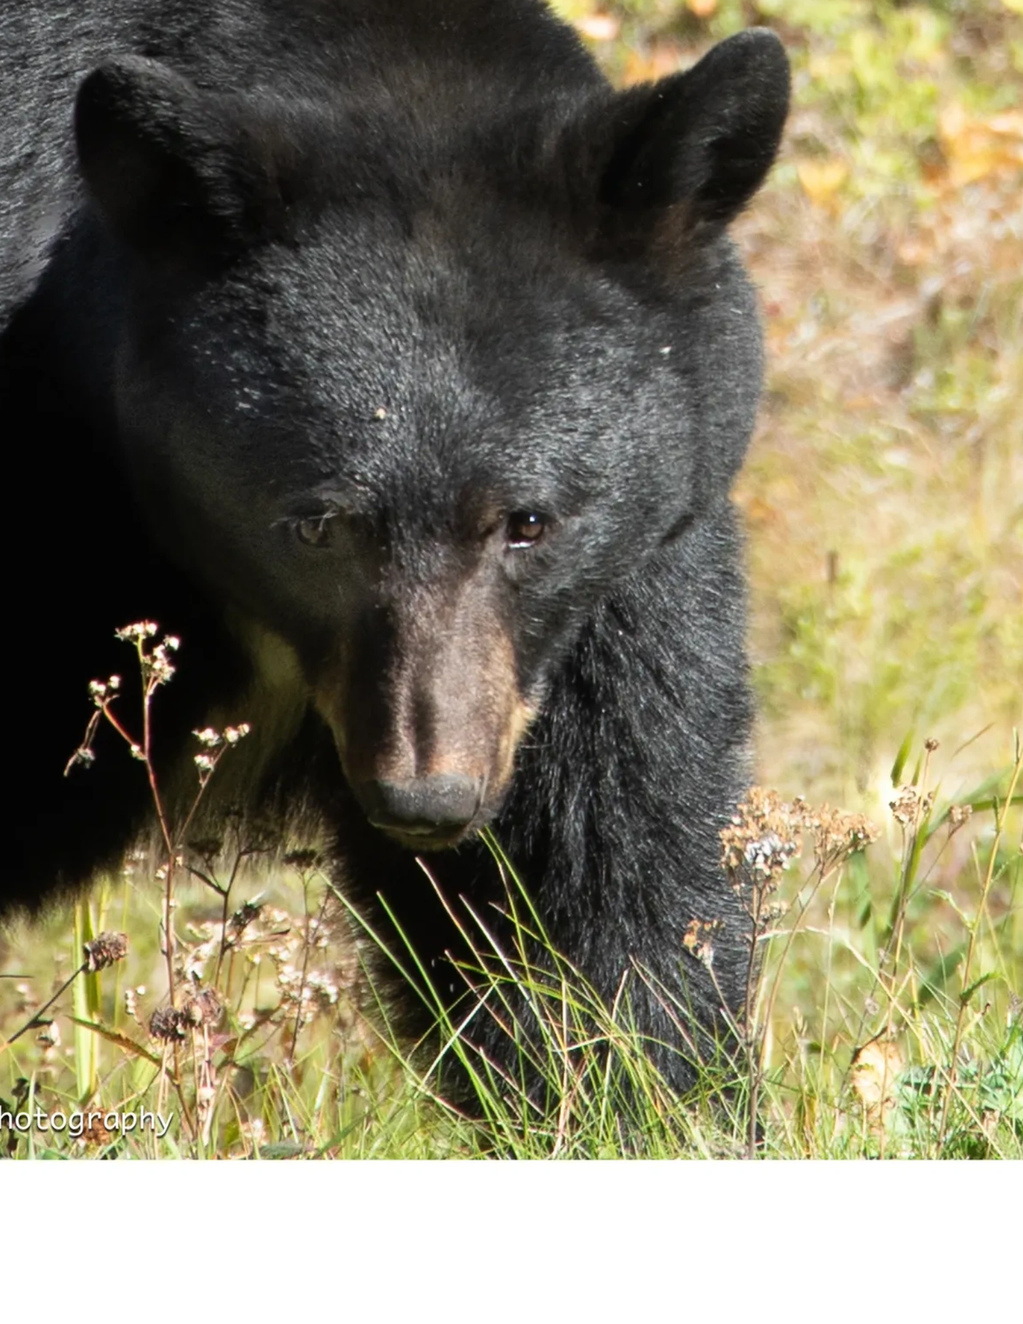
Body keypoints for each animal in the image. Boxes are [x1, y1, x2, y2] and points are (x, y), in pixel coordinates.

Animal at [0, 0, 789, 1103]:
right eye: (318, 523)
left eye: (528, 521)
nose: (427, 796)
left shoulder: (603, 596)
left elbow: (601, 870)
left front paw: (637, 1082)